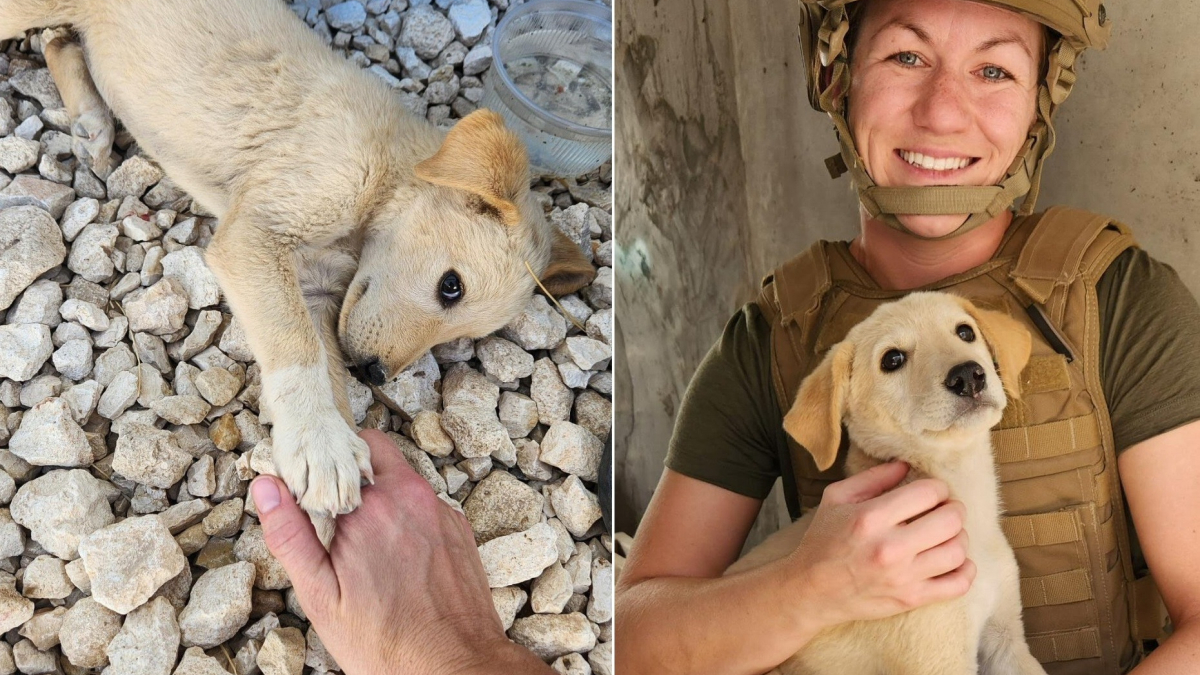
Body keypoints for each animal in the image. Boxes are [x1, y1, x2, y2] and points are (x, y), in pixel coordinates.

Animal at [1, 0, 595, 535]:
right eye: (452, 287)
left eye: (462, 331)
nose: (374, 374)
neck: (388, 171)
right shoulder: (258, 235)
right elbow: (295, 345)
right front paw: (318, 443)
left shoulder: (316, 290)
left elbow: (324, 365)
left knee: (57, 40)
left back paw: (90, 122)